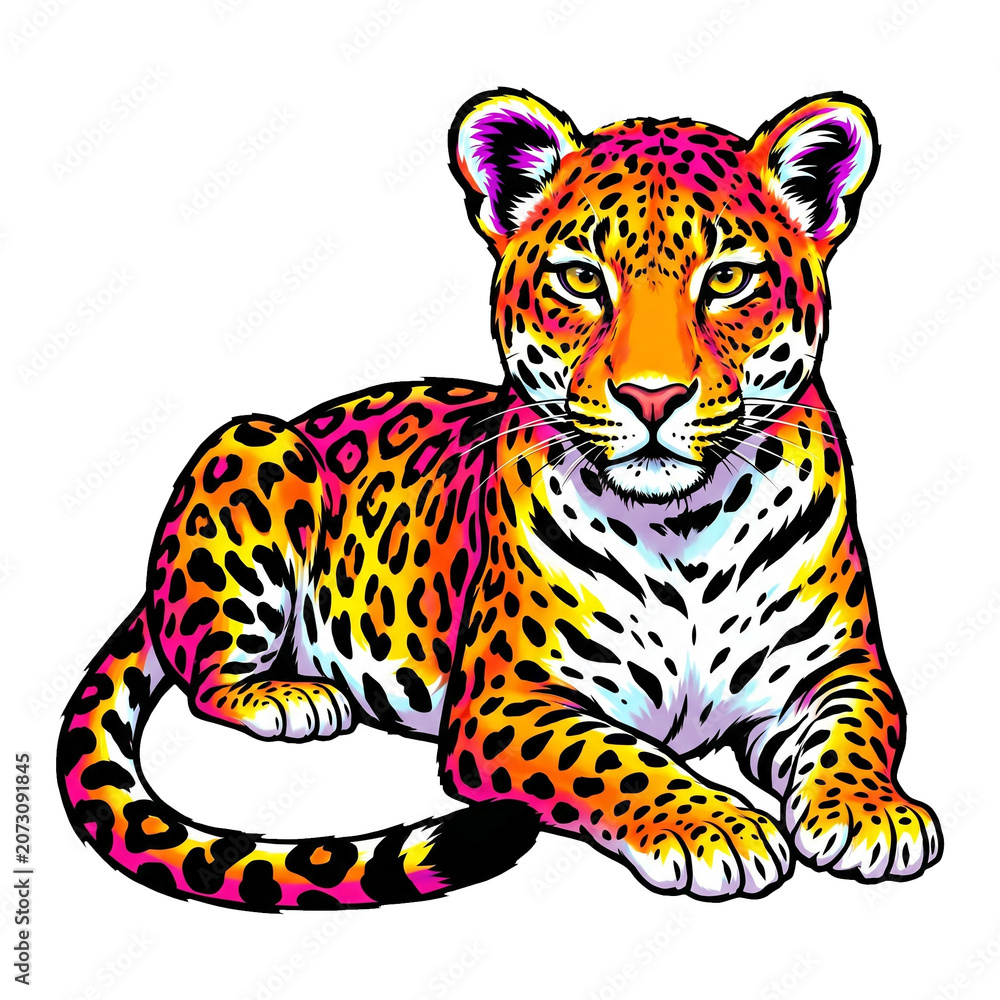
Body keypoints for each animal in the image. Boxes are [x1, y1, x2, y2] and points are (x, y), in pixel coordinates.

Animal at [57, 88, 943, 909]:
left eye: (728, 279)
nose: (652, 396)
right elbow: (621, 758)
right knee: (205, 673)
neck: (684, 529)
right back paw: (289, 695)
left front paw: (872, 813)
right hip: (252, 444)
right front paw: (716, 825)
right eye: (581, 279)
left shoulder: (838, 670)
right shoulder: (507, 700)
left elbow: (856, 731)